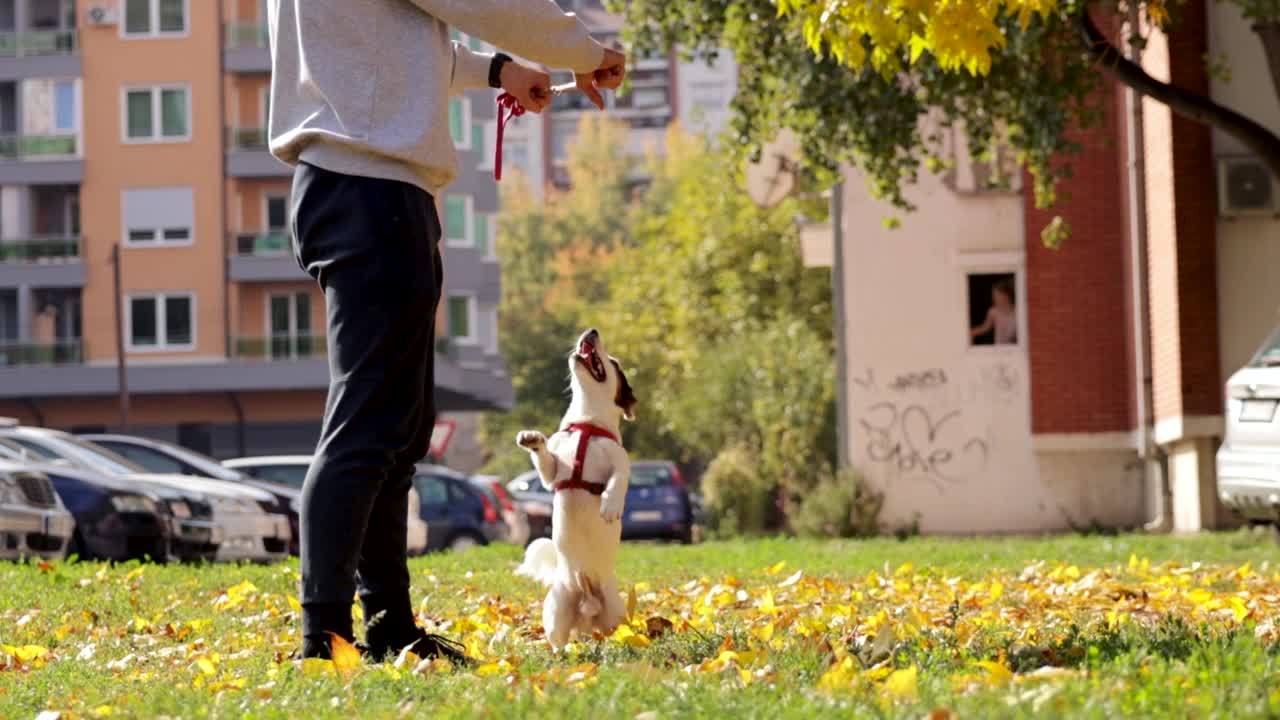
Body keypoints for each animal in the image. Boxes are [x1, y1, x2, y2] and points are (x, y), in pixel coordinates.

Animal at [512, 327, 637, 648]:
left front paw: (610, 505)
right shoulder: (552, 472)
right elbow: (545, 460)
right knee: (559, 640)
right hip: (556, 608)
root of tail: (588, 608)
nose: (591, 331)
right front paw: (533, 439)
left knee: (613, 633)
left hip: (615, 612)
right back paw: (563, 652)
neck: (586, 424)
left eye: (614, 362)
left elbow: (618, 480)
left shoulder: (621, 462)